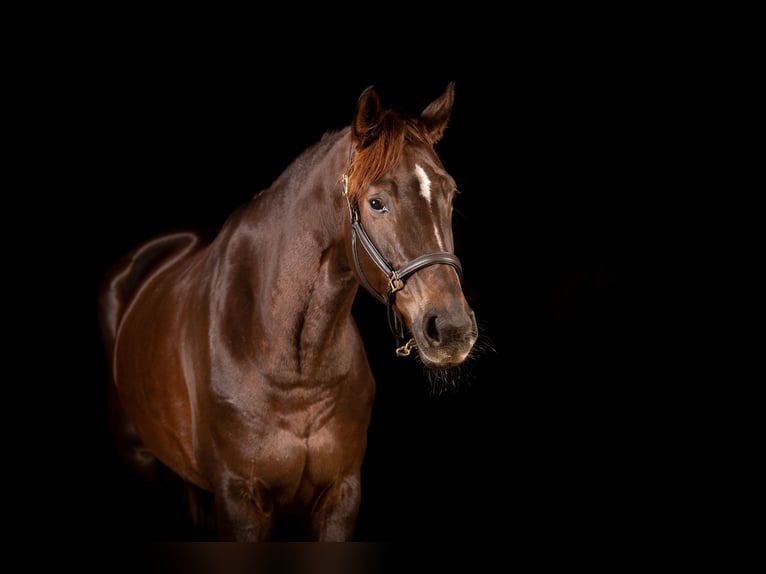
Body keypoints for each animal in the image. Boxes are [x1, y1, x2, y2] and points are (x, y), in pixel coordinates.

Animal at [98, 79, 476, 544]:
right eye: (376, 203)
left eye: (450, 193)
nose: (452, 328)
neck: (296, 365)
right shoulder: (239, 501)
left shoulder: (340, 495)